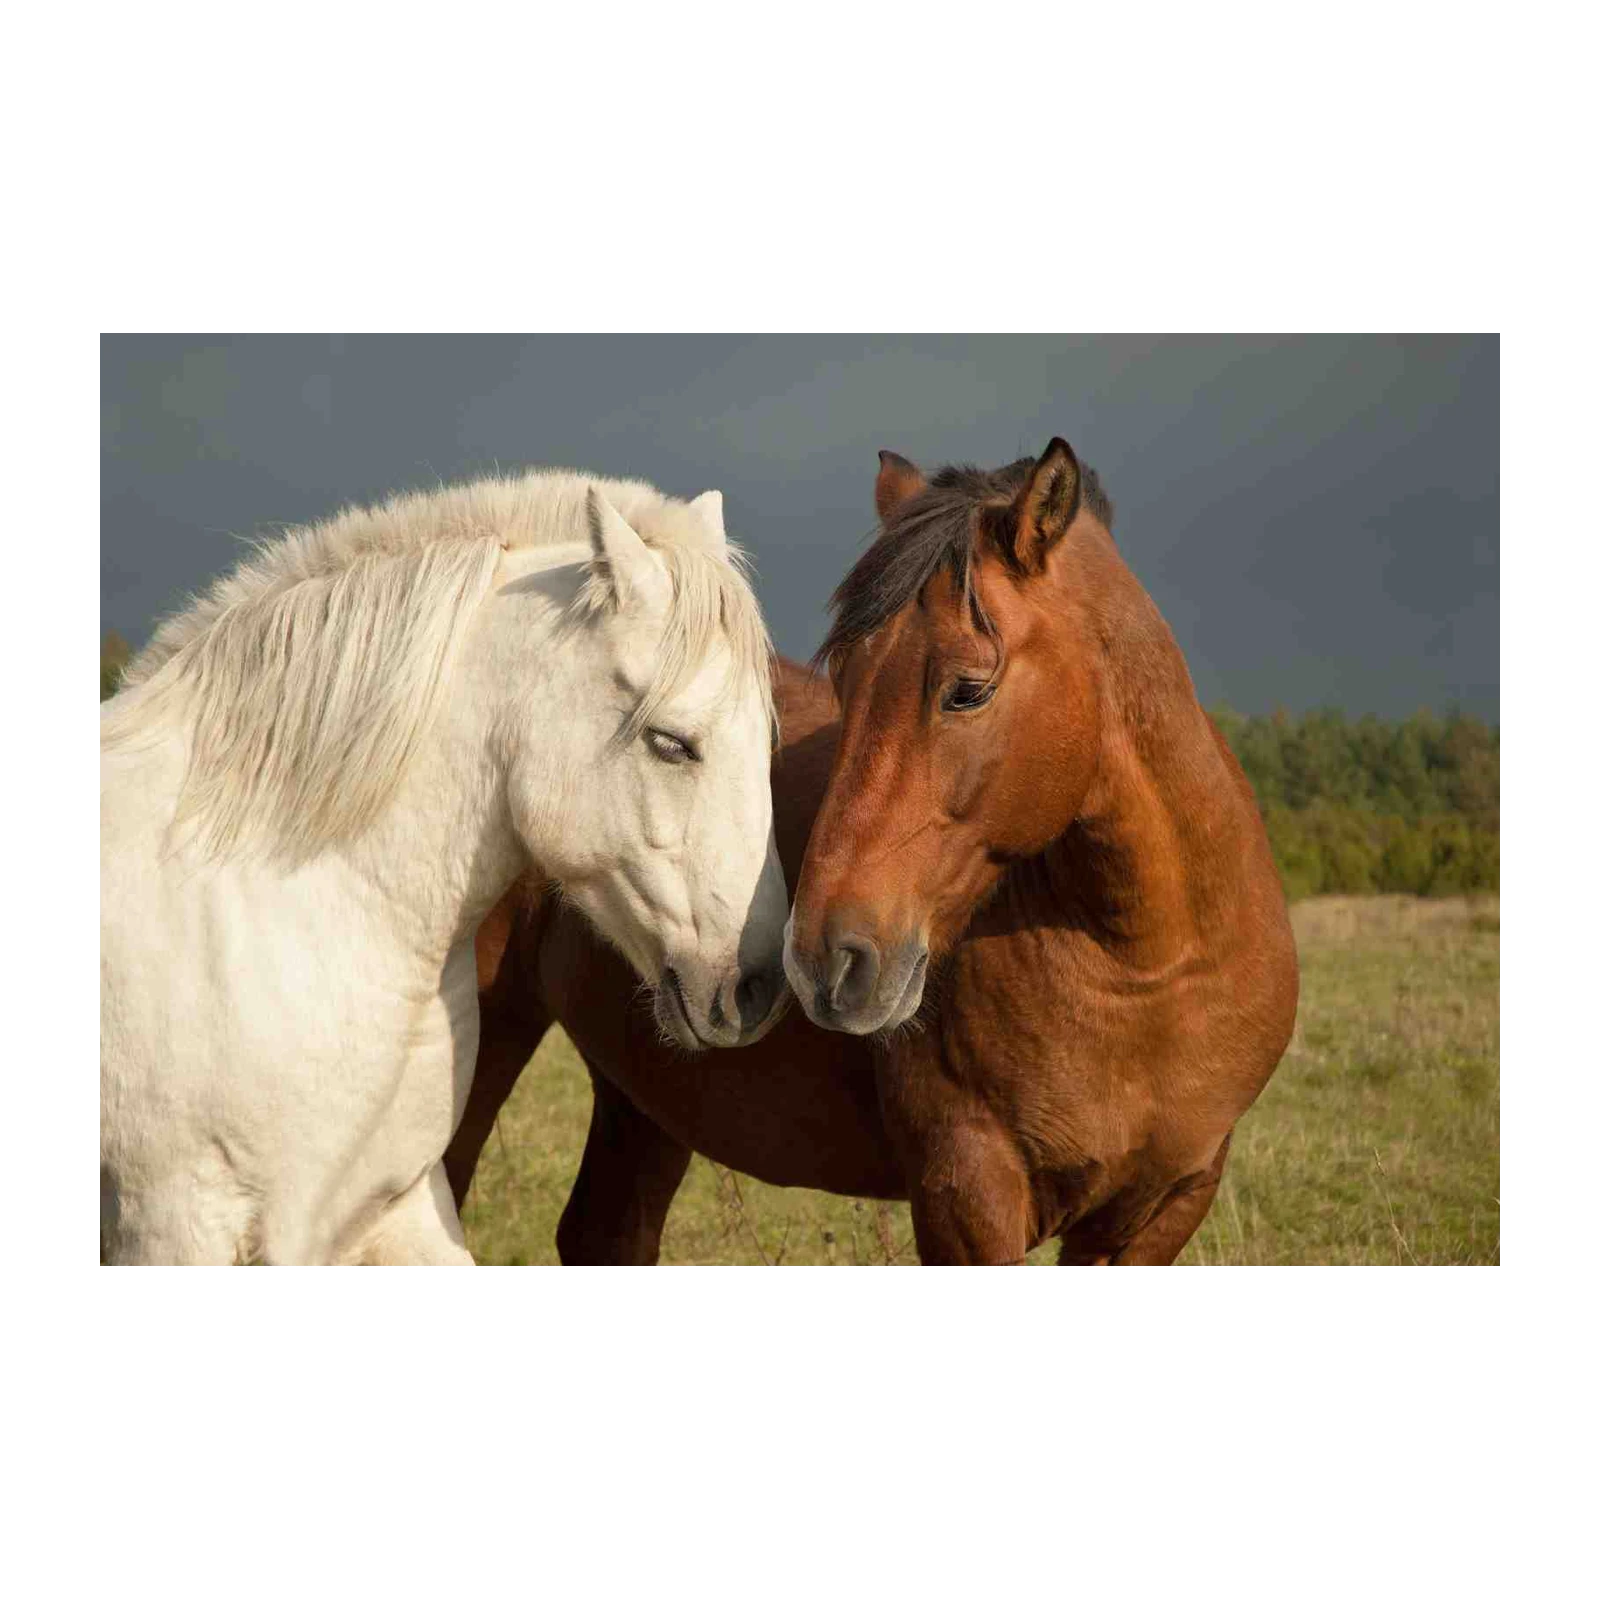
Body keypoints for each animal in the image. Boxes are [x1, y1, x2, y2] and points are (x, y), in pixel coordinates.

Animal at [445, 439, 1299, 1267]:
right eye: (847, 682)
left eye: (968, 689)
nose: (824, 960)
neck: (1148, 968)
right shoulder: (966, 1196)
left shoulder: (1163, 1206)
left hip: (647, 1092)